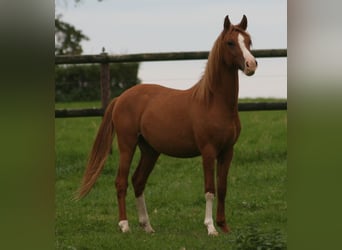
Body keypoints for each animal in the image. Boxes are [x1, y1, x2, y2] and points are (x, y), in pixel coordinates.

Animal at [75, 14, 256, 235]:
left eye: (248, 41)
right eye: (230, 43)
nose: (251, 64)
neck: (213, 102)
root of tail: (120, 98)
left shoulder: (227, 151)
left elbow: (222, 188)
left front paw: (224, 227)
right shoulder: (208, 151)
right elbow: (209, 190)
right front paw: (211, 227)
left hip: (150, 150)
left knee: (138, 181)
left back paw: (147, 226)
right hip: (127, 145)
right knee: (121, 182)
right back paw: (124, 225)